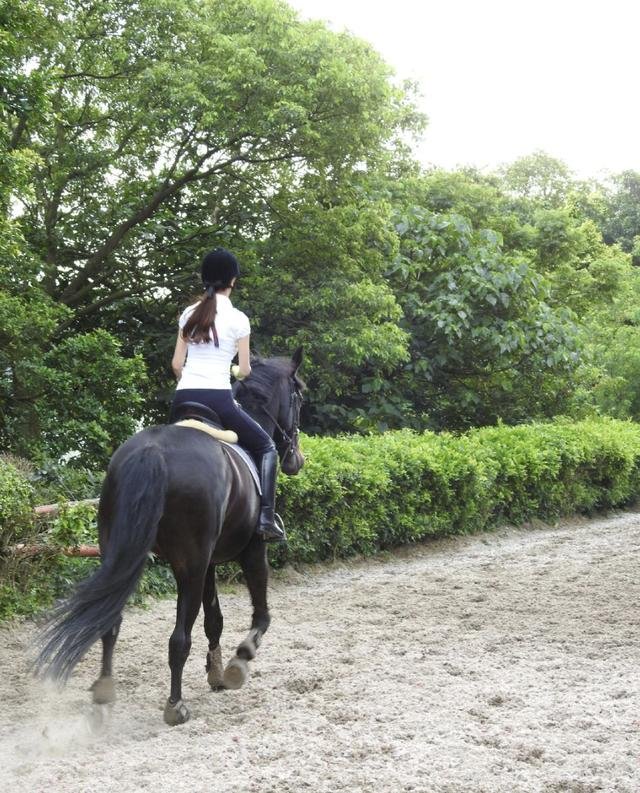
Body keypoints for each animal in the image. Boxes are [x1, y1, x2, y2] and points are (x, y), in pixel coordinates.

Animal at [35, 347, 305, 726]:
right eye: (299, 397)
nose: (297, 460)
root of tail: (154, 451)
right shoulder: (249, 550)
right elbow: (260, 615)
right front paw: (238, 662)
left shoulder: (208, 563)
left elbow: (214, 620)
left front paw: (216, 673)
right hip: (187, 566)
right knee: (178, 638)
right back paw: (176, 704)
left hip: (122, 554)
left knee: (110, 621)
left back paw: (104, 692)